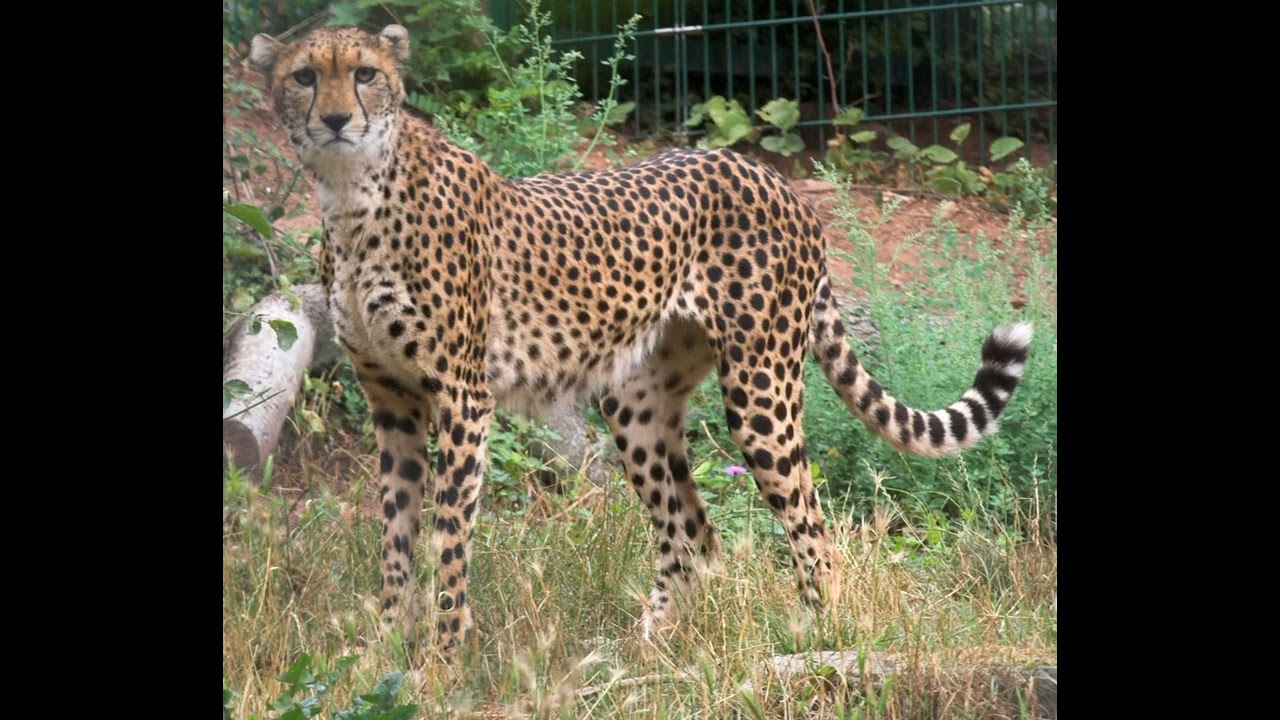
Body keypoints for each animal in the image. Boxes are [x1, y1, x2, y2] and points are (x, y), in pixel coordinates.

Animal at [249, 24, 1032, 660]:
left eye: (365, 72)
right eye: (305, 76)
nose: (338, 119)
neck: (353, 197)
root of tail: (767, 174)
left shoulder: (462, 400)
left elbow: (447, 540)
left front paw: (442, 658)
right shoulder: (393, 403)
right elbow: (396, 533)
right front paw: (383, 645)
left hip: (761, 393)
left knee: (811, 528)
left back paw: (818, 636)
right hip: (636, 402)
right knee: (695, 535)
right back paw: (643, 649)